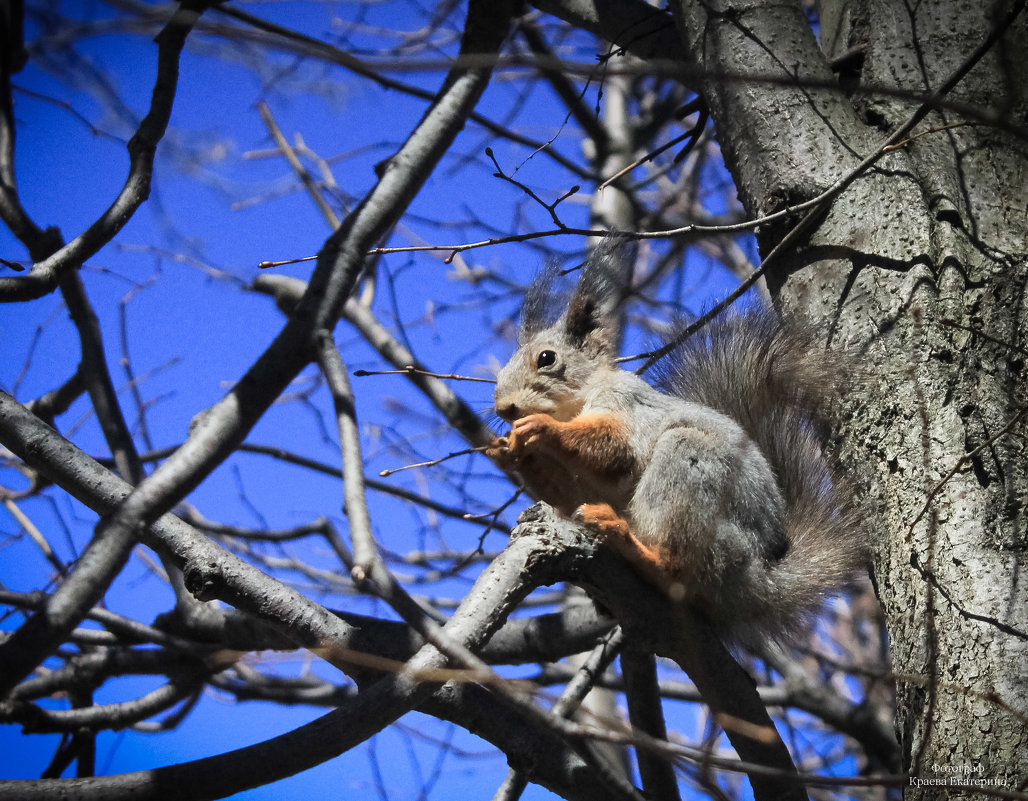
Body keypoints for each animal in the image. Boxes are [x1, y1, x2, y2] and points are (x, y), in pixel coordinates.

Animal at [489, 239, 867, 645]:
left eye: (546, 358)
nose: (503, 407)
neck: (575, 404)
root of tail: (759, 582)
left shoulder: (628, 406)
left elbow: (615, 451)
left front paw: (541, 428)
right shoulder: (573, 485)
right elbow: (563, 492)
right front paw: (509, 452)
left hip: (689, 476)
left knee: (677, 569)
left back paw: (632, 544)